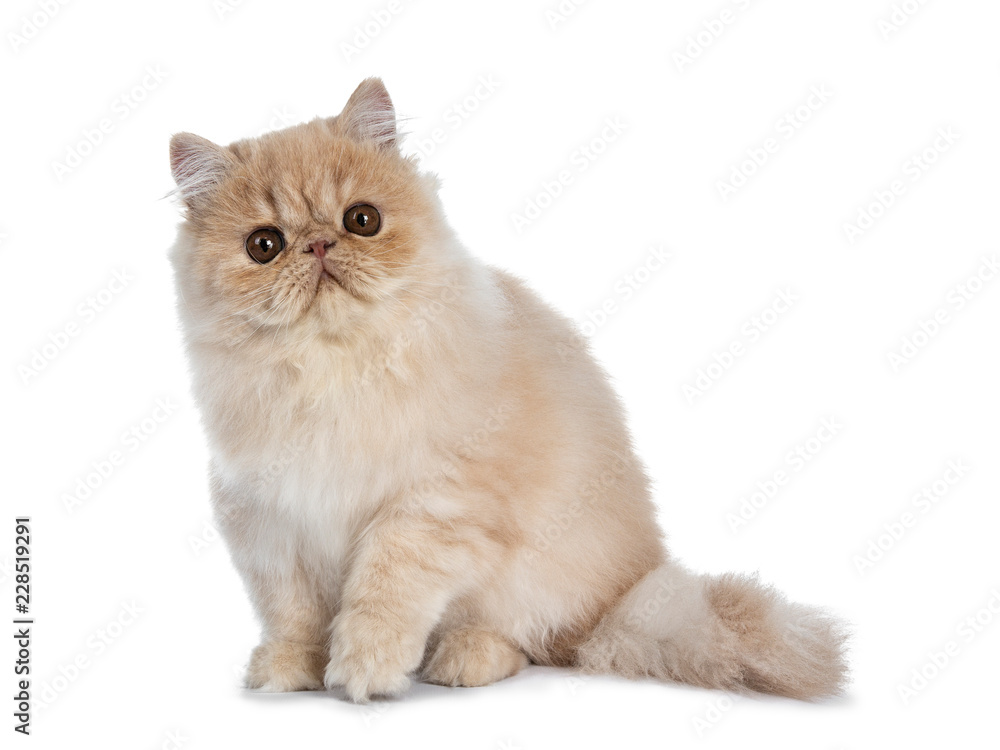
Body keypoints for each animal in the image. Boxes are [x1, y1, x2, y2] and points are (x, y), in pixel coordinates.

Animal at [168, 78, 848, 704]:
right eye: (265, 246)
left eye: (362, 220)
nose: (317, 244)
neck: (332, 369)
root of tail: (624, 597)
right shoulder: (269, 525)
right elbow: (293, 612)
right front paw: (290, 668)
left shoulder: (432, 505)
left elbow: (384, 592)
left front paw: (363, 669)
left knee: (525, 639)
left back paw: (463, 659)